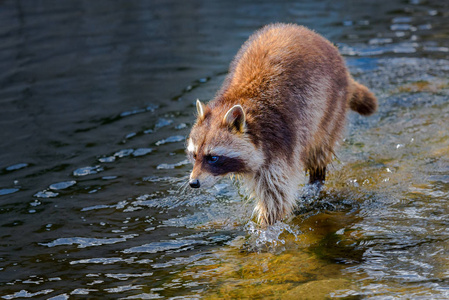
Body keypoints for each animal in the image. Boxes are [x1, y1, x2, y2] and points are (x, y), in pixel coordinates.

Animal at [184, 23, 376, 225]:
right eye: (194, 155)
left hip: (331, 106)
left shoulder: (277, 145)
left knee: (319, 150)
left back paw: (316, 180)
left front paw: (265, 228)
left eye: (213, 157)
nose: (193, 183)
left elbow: (275, 199)